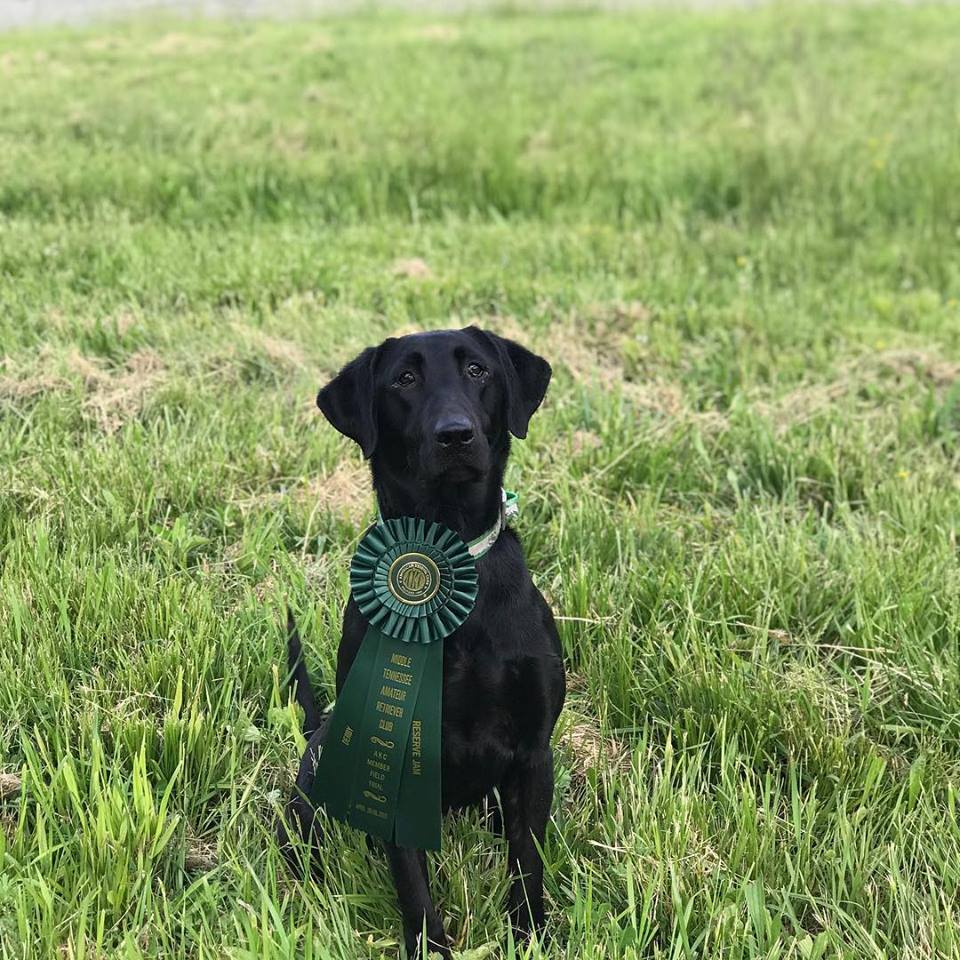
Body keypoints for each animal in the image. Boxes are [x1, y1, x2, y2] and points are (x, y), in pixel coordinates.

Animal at [280, 326, 564, 956]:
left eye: (478, 371)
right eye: (404, 380)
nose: (455, 434)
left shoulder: (534, 751)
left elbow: (527, 863)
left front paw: (529, 935)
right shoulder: (391, 758)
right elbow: (413, 885)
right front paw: (429, 946)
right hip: (317, 774)